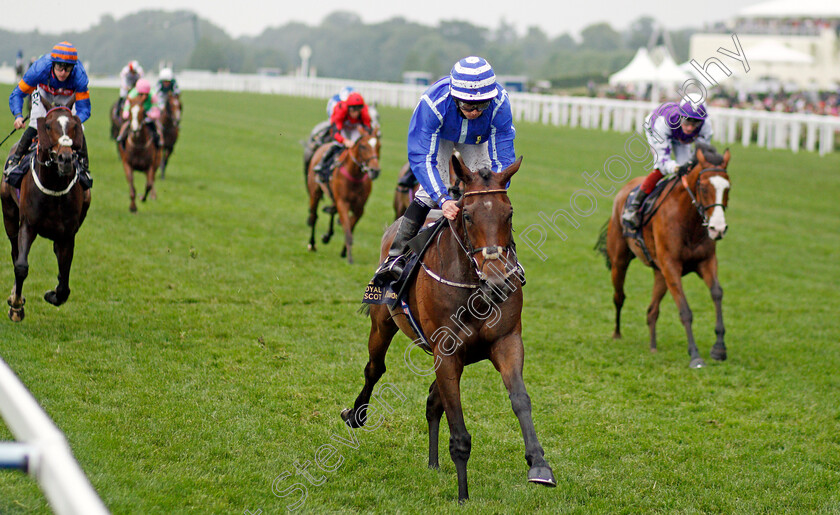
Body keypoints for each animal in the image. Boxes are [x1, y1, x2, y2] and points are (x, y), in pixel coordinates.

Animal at [1, 101, 91, 322]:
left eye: (75, 126)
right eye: (48, 126)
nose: (65, 159)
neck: (55, 187)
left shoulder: (67, 235)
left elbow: (65, 280)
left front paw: (53, 295)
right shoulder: (28, 225)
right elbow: (21, 266)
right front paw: (16, 306)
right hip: (9, 213)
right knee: (15, 252)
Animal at [306, 127, 382, 264]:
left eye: (379, 146)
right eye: (363, 146)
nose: (375, 171)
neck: (355, 175)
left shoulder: (359, 208)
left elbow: (350, 226)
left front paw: (344, 251)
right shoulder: (343, 203)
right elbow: (347, 229)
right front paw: (349, 257)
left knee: (332, 211)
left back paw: (327, 235)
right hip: (315, 193)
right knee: (314, 216)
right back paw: (312, 244)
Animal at [342, 157, 552, 504]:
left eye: (509, 214)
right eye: (467, 216)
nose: (498, 281)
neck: (475, 288)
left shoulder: (506, 341)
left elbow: (520, 399)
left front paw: (539, 464)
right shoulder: (447, 352)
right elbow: (458, 426)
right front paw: (463, 492)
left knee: (432, 399)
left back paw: (433, 462)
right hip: (382, 322)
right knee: (375, 368)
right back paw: (356, 414)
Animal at [592, 143, 732, 368]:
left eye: (728, 188)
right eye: (703, 187)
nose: (717, 228)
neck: (689, 223)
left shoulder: (705, 261)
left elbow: (717, 293)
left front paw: (719, 348)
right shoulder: (671, 265)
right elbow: (685, 310)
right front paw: (695, 355)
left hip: (659, 273)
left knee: (652, 311)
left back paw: (653, 346)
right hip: (619, 261)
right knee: (619, 297)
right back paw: (617, 333)